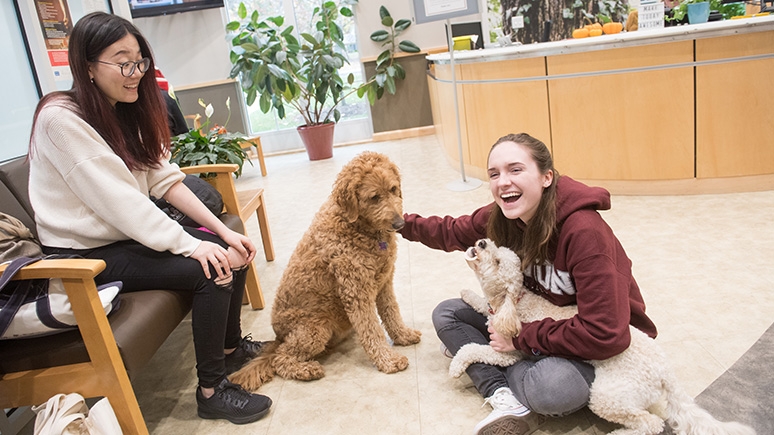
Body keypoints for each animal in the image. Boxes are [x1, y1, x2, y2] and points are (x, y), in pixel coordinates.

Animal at [232, 152, 424, 392]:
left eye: (393, 189)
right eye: (374, 197)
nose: (400, 223)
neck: (358, 226)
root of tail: (278, 338)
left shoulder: (385, 281)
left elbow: (392, 312)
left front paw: (403, 335)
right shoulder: (356, 291)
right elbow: (372, 330)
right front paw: (388, 360)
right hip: (316, 329)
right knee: (280, 359)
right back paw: (306, 369)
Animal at [452, 238, 756, 435]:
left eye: (496, 260)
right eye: (493, 246)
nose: (481, 242)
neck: (514, 303)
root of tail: (665, 372)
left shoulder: (507, 351)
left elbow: (472, 349)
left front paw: (456, 366)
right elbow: (479, 304)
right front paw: (468, 294)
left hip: (607, 395)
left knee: (650, 424)